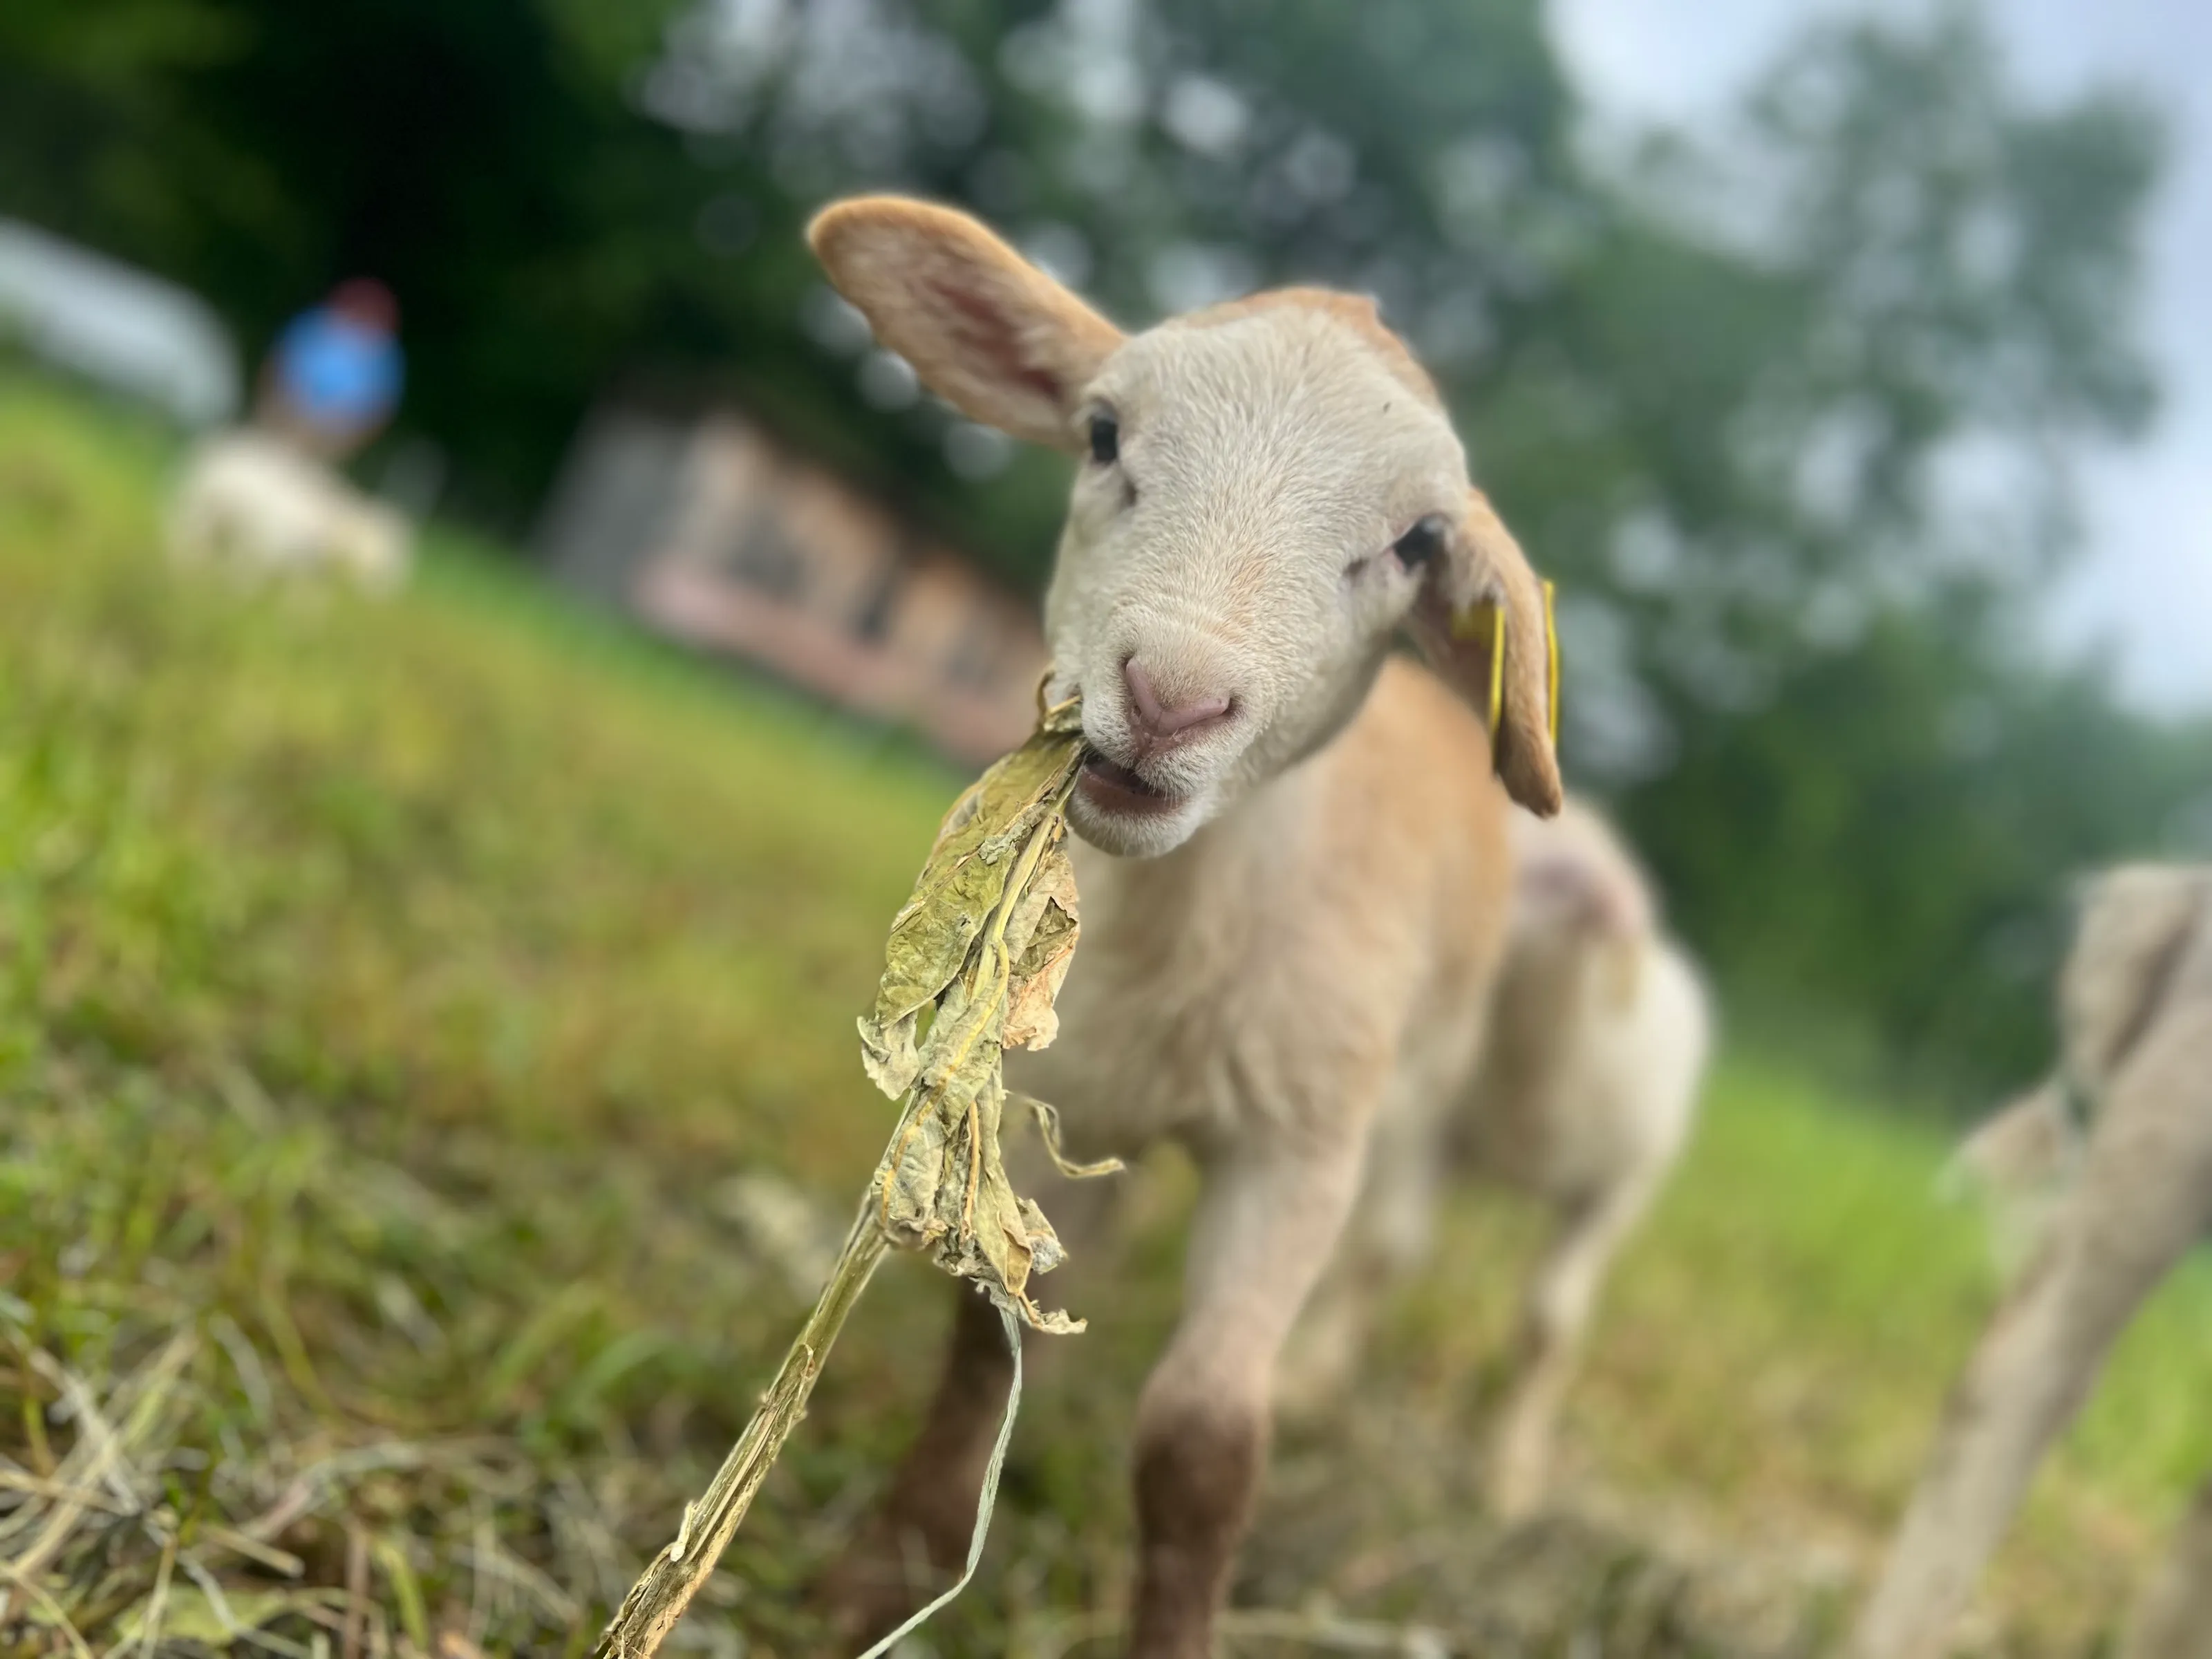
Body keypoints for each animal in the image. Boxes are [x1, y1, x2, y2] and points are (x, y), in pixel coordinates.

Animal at [167, 428, 411, 592]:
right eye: (382, 551)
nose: (390, 588)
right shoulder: (265, 547)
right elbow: (246, 578)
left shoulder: (304, 570)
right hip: (200, 505)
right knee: (182, 535)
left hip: (219, 520)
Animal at [801, 197, 1564, 1658]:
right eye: (1102, 433)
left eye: (1419, 543)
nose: (1171, 694)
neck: (1190, 939)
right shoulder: (1067, 1097)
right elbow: (987, 1344)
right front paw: (887, 1571)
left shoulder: (1299, 1148)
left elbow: (1204, 1440)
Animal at [1280, 797, 1711, 1518]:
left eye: (1558, 878)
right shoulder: (1428, 1134)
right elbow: (1385, 1254)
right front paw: (1311, 1377)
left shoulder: (1613, 1194)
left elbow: (1550, 1324)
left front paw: (1510, 1473)